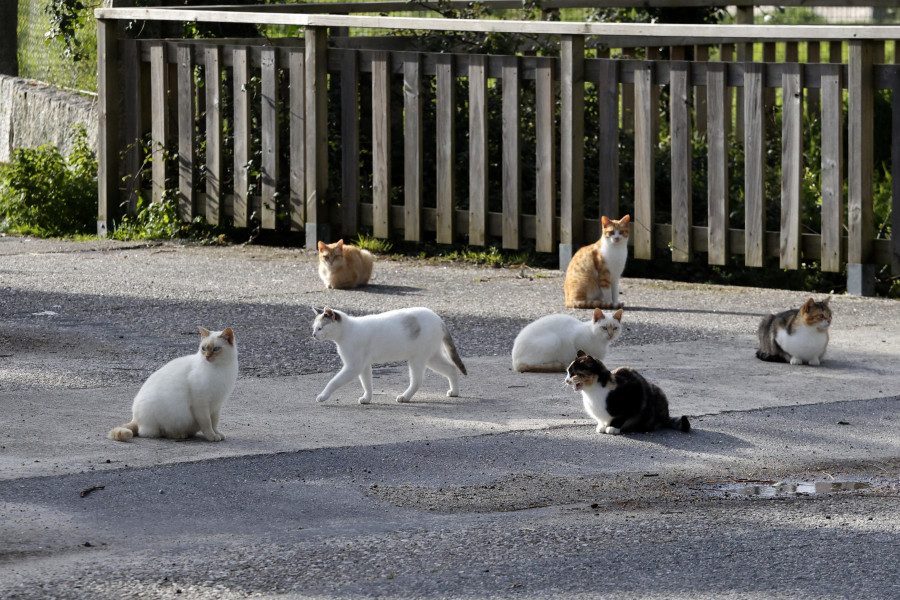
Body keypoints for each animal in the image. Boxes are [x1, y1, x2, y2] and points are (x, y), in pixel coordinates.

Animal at [108, 326, 239, 442]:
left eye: (216, 349)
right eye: (204, 348)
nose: (207, 357)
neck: (219, 369)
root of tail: (135, 418)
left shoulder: (217, 404)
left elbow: (215, 423)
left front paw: (217, 434)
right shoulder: (201, 404)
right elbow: (207, 424)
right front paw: (212, 436)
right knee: (158, 432)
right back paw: (180, 435)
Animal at [312, 310, 468, 404]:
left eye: (320, 328)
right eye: (314, 328)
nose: (313, 335)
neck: (346, 332)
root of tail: (439, 319)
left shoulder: (353, 367)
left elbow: (333, 382)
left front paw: (323, 396)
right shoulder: (364, 365)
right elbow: (367, 383)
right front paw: (367, 398)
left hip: (418, 359)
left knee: (417, 381)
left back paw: (405, 397)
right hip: (432, 358)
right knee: (451, 368)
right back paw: (455, 392)